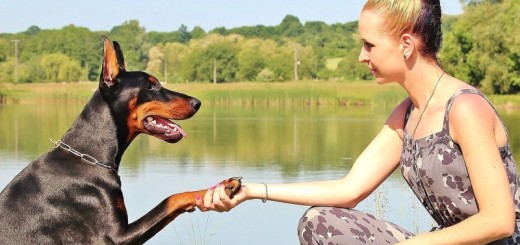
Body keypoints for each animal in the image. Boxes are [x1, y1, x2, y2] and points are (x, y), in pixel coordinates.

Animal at [0, 36, 242, 245]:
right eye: (150, 86)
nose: (197, 102)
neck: (89, 157)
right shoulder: (116, 236)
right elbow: (172, 198)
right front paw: (223, 186)